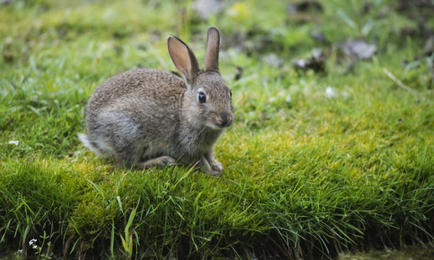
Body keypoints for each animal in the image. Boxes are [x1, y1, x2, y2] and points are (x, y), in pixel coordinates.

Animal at [78, 26, 234, 177]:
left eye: (229, 92)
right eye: (202, 97)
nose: (225, 119)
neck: (186, 112)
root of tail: (94, 133)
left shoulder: (207, 148)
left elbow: (209, 156)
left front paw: (217, 166)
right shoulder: (184, 146)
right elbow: (199, 161)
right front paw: (211, 171)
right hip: (129, 133)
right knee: (128, 166)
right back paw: (162, 161)